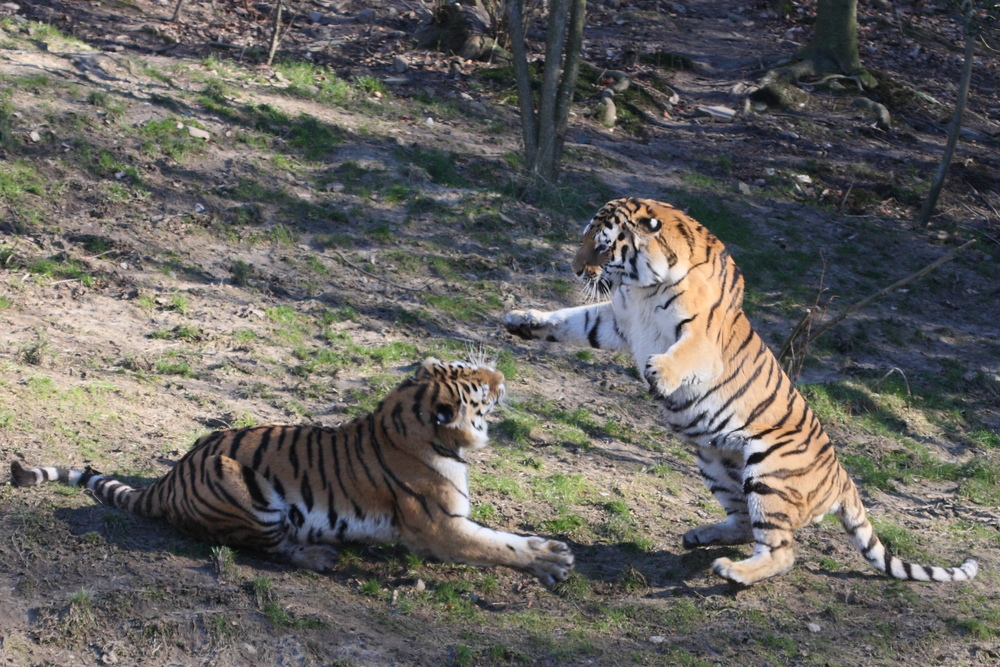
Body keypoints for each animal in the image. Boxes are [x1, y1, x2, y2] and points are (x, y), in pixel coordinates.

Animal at [7, 360, 576, 584]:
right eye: (477, 385)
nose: (502, 378)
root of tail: (168, 479)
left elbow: (503, 536)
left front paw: (547, 549)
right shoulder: (442, 528)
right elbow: (497, 545)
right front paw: (552, 561)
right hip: (243, 490)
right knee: (265, 547)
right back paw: (319, 554)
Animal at [508, 197, 976, 584]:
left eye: (604, 247)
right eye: (586, 240)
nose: (574, 268)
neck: (642, 285)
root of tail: (844, 476)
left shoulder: (699, 334)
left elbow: (683, 352)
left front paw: (658, 371)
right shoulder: (615, 320)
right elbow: (570, 319)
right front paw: (522, 319)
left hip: (769, 474)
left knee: (782, 550)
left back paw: (733, 572)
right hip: (715, 463)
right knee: (745, 524)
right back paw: (698, 536)